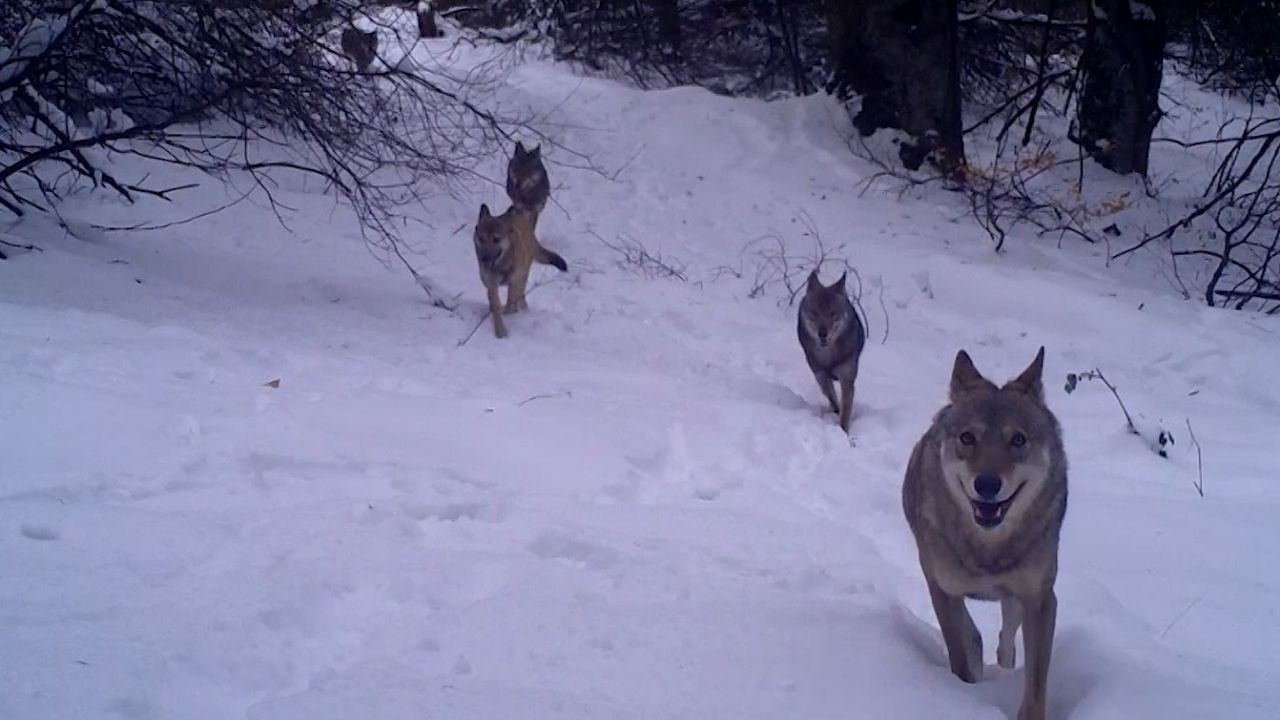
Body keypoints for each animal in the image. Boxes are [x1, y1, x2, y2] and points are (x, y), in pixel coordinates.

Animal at [473, 199, 568, 338]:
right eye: (481, 239)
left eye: (496, 239)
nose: (484, 259)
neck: (502, 263)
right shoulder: (491, 284)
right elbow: (495, 305)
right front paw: (500, 330)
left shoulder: (514, 280)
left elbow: (511, 303)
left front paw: (510, 315)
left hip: (522, 275)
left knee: (520, 295)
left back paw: (522, 309)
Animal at [793, 266, 865, 427]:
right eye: (815, 313)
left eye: (832, 314)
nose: (822, 333)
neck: (829, 356)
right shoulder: (820, 375)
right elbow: (832, 398)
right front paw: (835, 411)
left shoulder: (847, 378)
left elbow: (845, 410)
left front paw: (843, 430)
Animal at [901, 345, 1070, 717]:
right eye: (968, 438)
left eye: (1018, 440)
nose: (988, 484)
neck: (988, 551)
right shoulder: (943, 589)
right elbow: (960, 657)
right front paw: (964, 693)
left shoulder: (1040, 599)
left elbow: (1035, 683)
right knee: (974, 634)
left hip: (1016, 603)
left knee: (1005, 642)